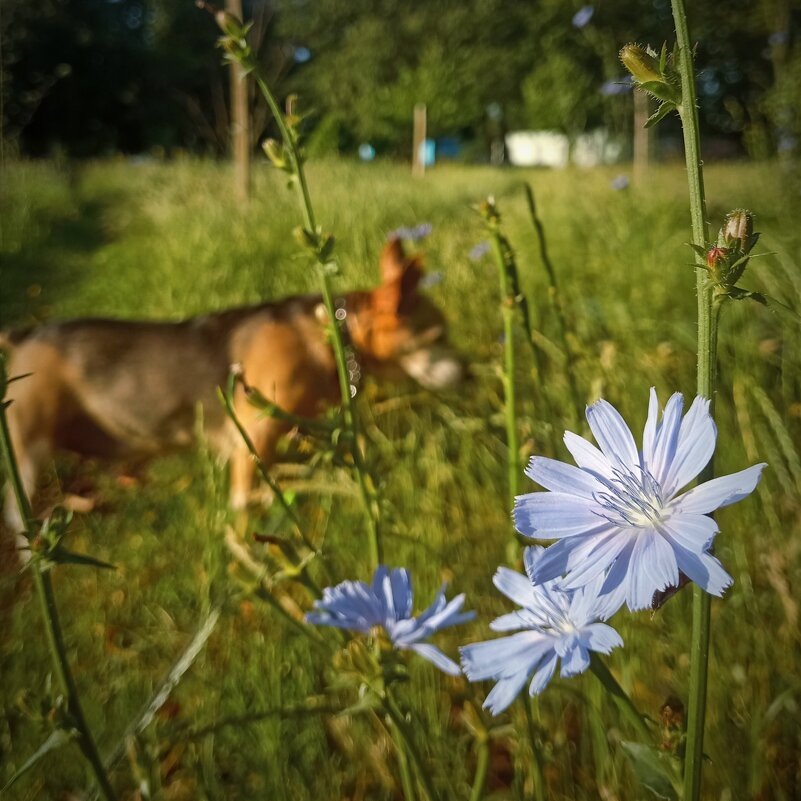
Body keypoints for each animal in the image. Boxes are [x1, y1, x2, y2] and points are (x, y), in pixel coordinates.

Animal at [0, 238, 462, 548]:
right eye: (438, 336)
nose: (469, 374)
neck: (332, 331)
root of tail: (23, 335)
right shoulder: (251, 445)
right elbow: (245, 513)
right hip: (27, 450)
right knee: (14, 512)